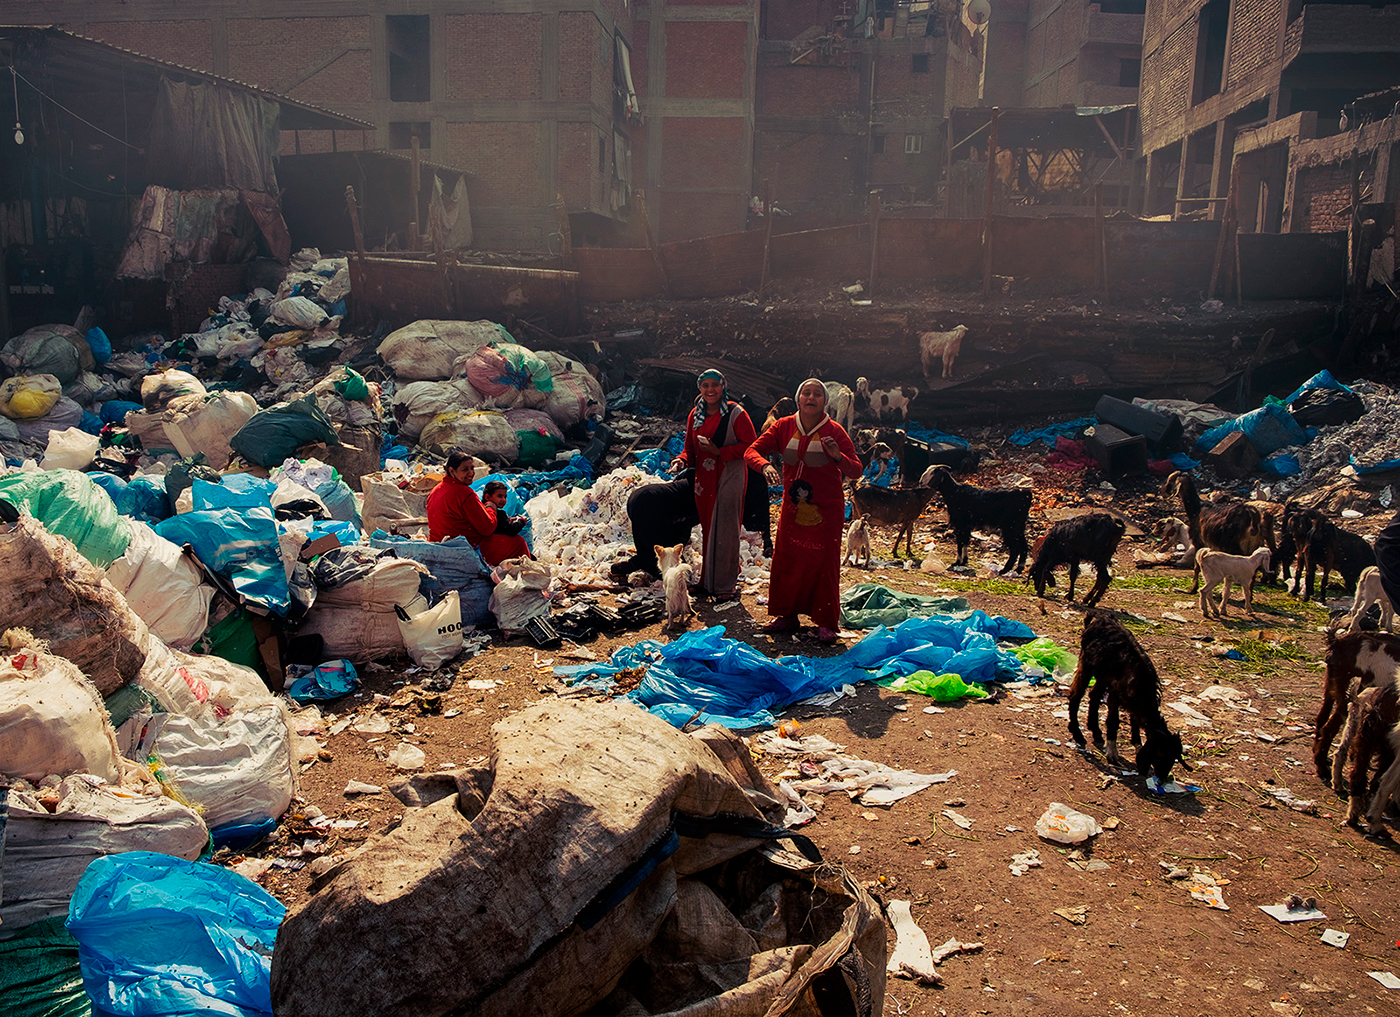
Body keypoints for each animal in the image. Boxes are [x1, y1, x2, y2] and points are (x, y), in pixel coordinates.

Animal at [1069, 610, 1192, 784]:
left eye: (1174, 757)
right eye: (1161, 753)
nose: (1162, 777)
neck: (1142, 684)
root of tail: (1095, 621)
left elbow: (1134, 720)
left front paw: (1137, 742)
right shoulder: (1116, 694)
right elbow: (1113, 720)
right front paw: (1112, 753)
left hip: (1103, 675)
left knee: (1094, 694)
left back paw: (1096, 731)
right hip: (1086, 663)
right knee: (1076, 695)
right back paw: (1078, 734)